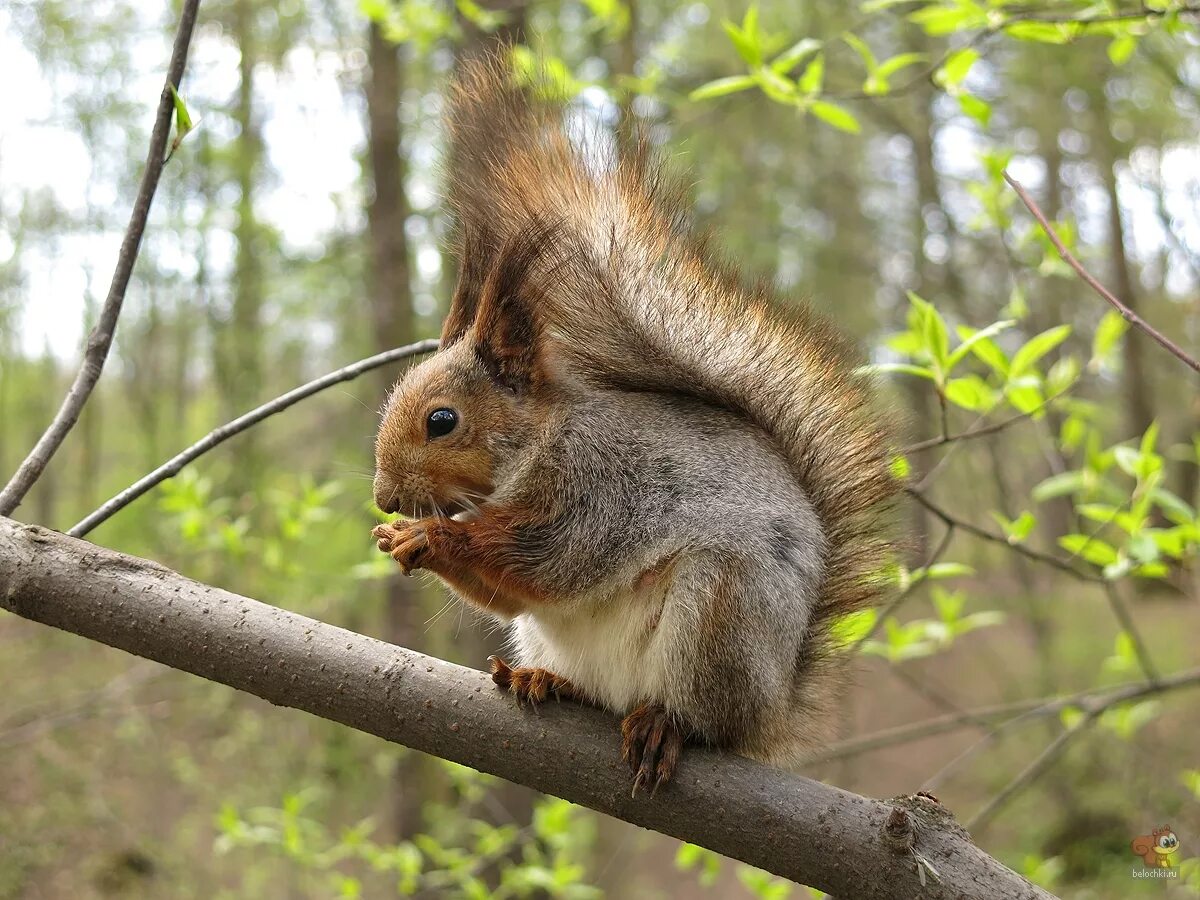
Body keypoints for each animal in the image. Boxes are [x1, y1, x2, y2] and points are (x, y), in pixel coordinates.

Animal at [369, 56, 897, 796]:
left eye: (441, 421)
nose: (384, 497)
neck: (536, 442)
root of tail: (769, 716)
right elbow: (508, 595)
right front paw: (402, 538)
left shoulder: (598, 489)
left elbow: (544, 560)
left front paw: (432, 536)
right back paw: (545, 680)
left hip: (719, 611)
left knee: (703, 719)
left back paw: (664, 727)